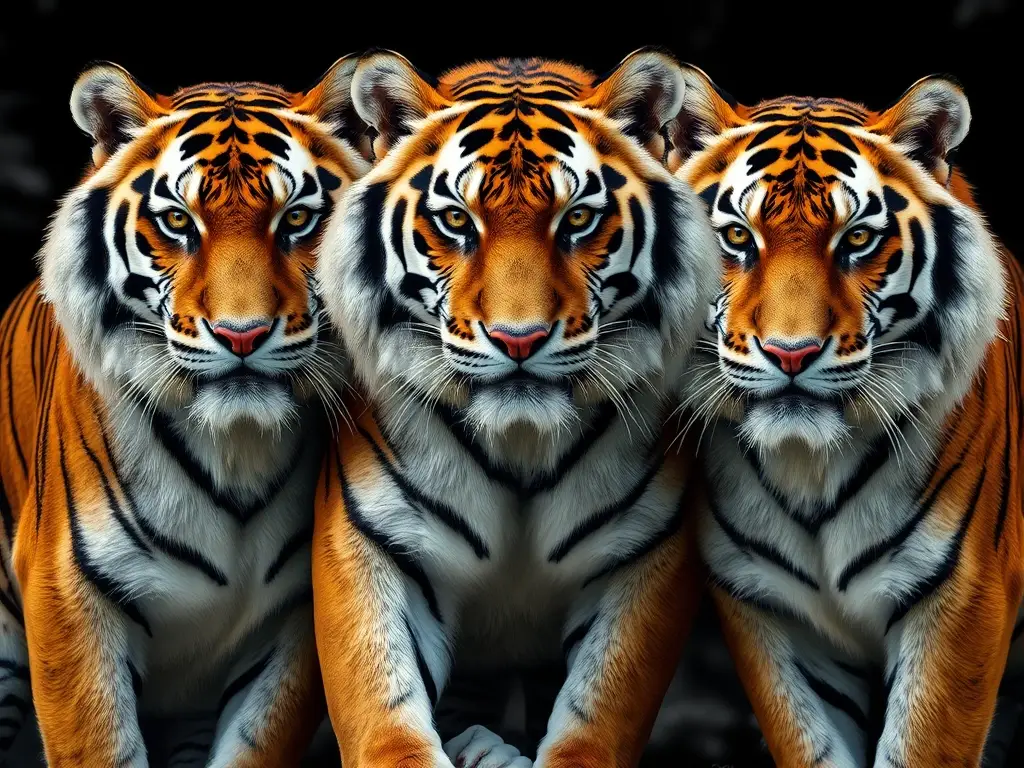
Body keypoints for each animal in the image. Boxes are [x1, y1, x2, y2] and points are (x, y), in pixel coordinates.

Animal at [0, 57, 369, 766]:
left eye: (297, 219)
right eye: (178, 222)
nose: (241, 335)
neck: (236, 449)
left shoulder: (293, 618)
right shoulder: (68, 594)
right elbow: (98, 745)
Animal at [310, 48, 721, 768]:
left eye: (578, 220)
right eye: (456, 221)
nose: (519, 339)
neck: (521, 445)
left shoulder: (647, 552)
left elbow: (598, 714)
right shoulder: (371, 538)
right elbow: (383, 707)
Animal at [667, 62, 1023, 767]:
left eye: (856, 238)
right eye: (738, 237)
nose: (791, 353)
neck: (811, 466)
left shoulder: (962, 600)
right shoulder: (768, 607)